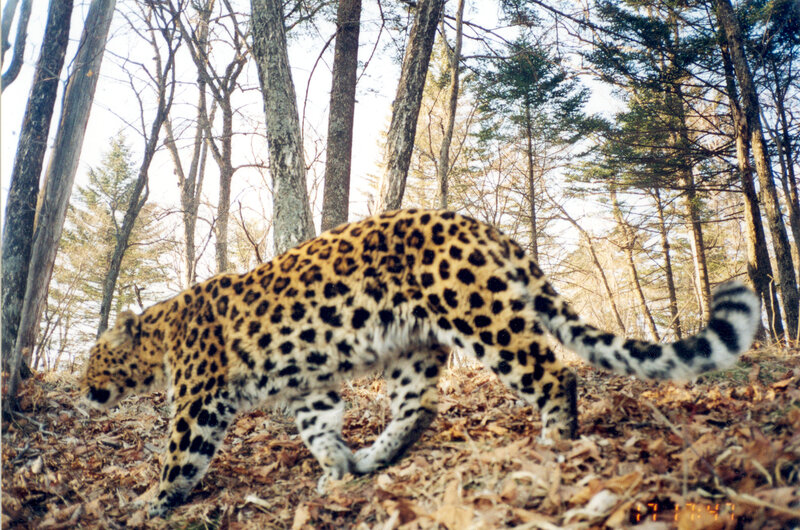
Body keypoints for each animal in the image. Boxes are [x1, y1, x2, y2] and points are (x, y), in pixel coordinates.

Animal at [80, 209, 761, 517]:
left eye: (92, 365)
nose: (85, 393)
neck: (160, 337)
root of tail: (482, 226)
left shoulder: (199, 401)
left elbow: (178, 456)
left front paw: (149, 507)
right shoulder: (309, 388)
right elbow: (319, 429)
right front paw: (336, 470)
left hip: (479, 316)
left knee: (552, 371)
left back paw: (555, 445)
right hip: (412, 347)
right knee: (420, 409)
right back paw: (372, 461)